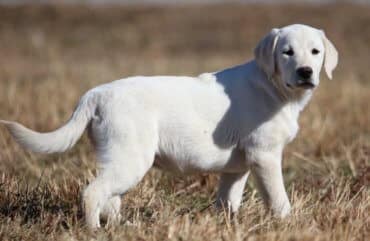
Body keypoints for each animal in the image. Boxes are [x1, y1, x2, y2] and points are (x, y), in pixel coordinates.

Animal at [0, 24, 336, 230]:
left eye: (315, 52)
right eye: (287, 52)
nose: (306, 71)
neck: (273, 87)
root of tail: (94, 94)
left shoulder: (237, 166)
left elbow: (228, 201)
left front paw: (226, 225)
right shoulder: (264, 156)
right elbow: (279, 199)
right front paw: (290, 224)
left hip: (119, 159)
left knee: (111, 198)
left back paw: (121, 227)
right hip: (131, 158)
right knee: (93, 193)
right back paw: (94, 230)